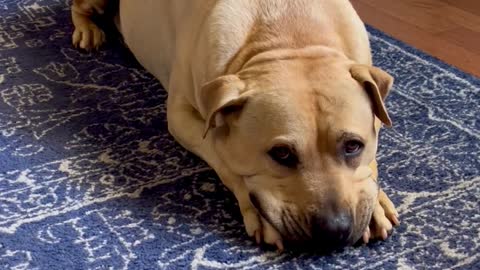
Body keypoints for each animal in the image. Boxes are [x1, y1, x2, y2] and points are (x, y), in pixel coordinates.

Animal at [71, 0, 400, 252]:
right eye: (281, 153)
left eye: (353, 146)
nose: (333, 231)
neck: (290, 37)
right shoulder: (181, 116)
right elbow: (223, 156)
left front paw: (375, 203)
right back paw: (88, 30)